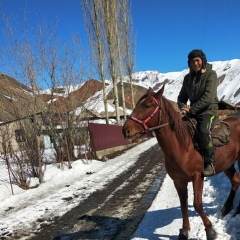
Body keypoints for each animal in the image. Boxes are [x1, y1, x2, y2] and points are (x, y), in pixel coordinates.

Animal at [122, 85, 240, 239]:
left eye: (147, 105)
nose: (125, 131)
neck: (183, 146)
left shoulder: (197, 177)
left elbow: (197, 204)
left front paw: (210, 230)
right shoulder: (178, 181)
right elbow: (183, 205)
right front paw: (184, 230)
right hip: (228, 164)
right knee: (236, 181)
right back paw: (228, 208)